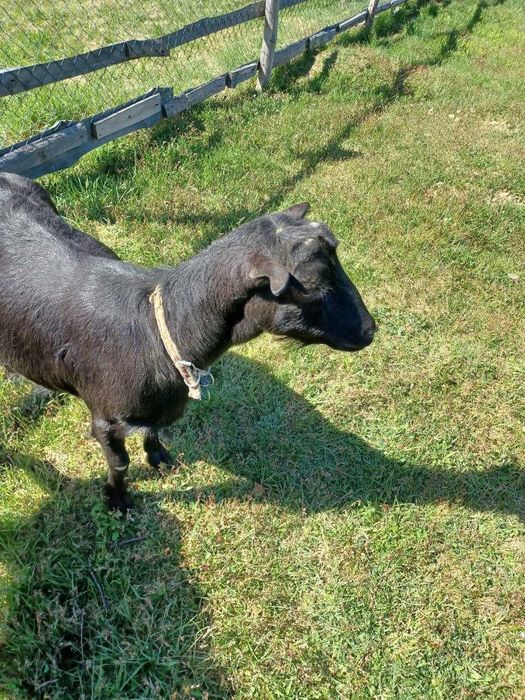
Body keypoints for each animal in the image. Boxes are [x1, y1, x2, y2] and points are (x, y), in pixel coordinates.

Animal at [0, 172, 375, 510]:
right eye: (310, 286)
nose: (370, 330)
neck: (157, 332)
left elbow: (153, 431)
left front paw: (159, 457)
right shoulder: (104, 418)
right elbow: (119, 463)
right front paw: (117, 500)